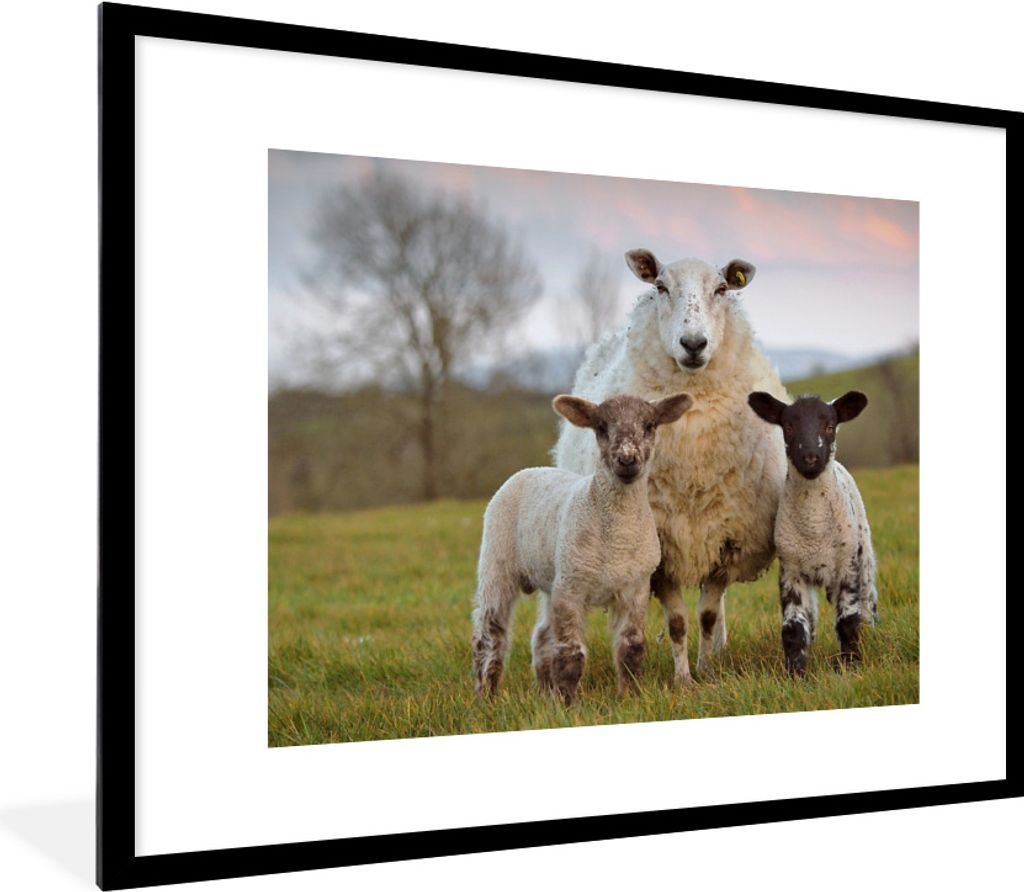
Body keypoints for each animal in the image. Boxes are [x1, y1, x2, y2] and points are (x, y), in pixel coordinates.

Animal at [472, 391, 693, 704]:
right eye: (601, 427)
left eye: (650, 425)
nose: (627, 459)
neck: (616, 537)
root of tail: (532, 469)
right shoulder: (571, 589)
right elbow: (570, 653)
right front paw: (568, 703)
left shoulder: (635, 588)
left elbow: (632, 648)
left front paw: (630, 697)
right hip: (497, 560)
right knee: (490, 634)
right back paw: (486, 695)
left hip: (552, 576)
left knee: (541, 636)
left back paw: (544, 692)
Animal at [553, 249, 788, 684]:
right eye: (661, 287)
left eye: (722, 289)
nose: (693, 343)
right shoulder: (661, 549)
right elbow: (678, 622)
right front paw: (683, 680)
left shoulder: (725, 540)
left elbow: (708, 614)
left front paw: (708, 669)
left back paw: (720, 649)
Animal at [747, 390, 878, 675]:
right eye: (788, 427)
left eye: (830, 426)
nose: (809, 458)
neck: (814, 528)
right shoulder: (791, 571)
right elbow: (793, 628)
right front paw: (795, 673)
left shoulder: (847, 567)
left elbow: (848, 621)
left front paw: (851, 667)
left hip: (863, 557)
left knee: (867, 607)